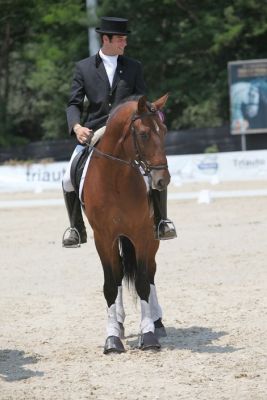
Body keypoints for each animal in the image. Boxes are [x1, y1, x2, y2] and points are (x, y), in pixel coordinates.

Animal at [83, 93, 172, 354]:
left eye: (164, 130)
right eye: (143, 134)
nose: (162, 180)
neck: (115, 181)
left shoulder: (141, 235)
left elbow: (142, 282)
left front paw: (149, 335)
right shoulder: (103, 238)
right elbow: (110, 284)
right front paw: (112, 338)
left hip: (151, 239)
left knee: (150, 273)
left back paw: (157, 322)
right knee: (119, 272)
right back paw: (120, 324)